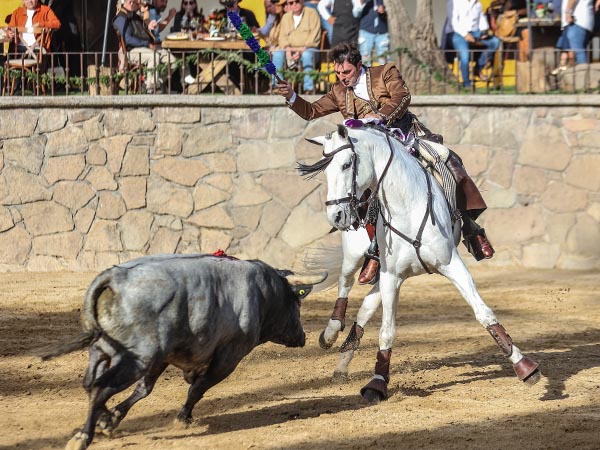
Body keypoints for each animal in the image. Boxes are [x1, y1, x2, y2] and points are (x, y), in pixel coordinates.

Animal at [39, 255, 326, 448]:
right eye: (297, 301)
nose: (302, 337)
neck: (263, 293)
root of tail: (117, 277)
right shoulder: (228, 357)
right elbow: (198, 388)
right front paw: (183, 417)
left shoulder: (164, 358)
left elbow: (145, 389)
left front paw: (113, 419)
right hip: (137, 358)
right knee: (100, 387)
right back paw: (82, 437)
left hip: (101, 351)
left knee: (91, 384)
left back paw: (102, 420)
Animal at [302, 124, 540, 404]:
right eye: (325, 169)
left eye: (347, 164)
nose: (336, 216)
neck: (406, 207)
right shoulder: (391, 276)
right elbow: (387, 331)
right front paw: (377, 383)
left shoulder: (450, 264)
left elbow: (484, 313)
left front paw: (524, 366)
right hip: (355, 257)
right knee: (345, 284)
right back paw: (330, 332)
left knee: (365, 307)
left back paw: (342, 362)